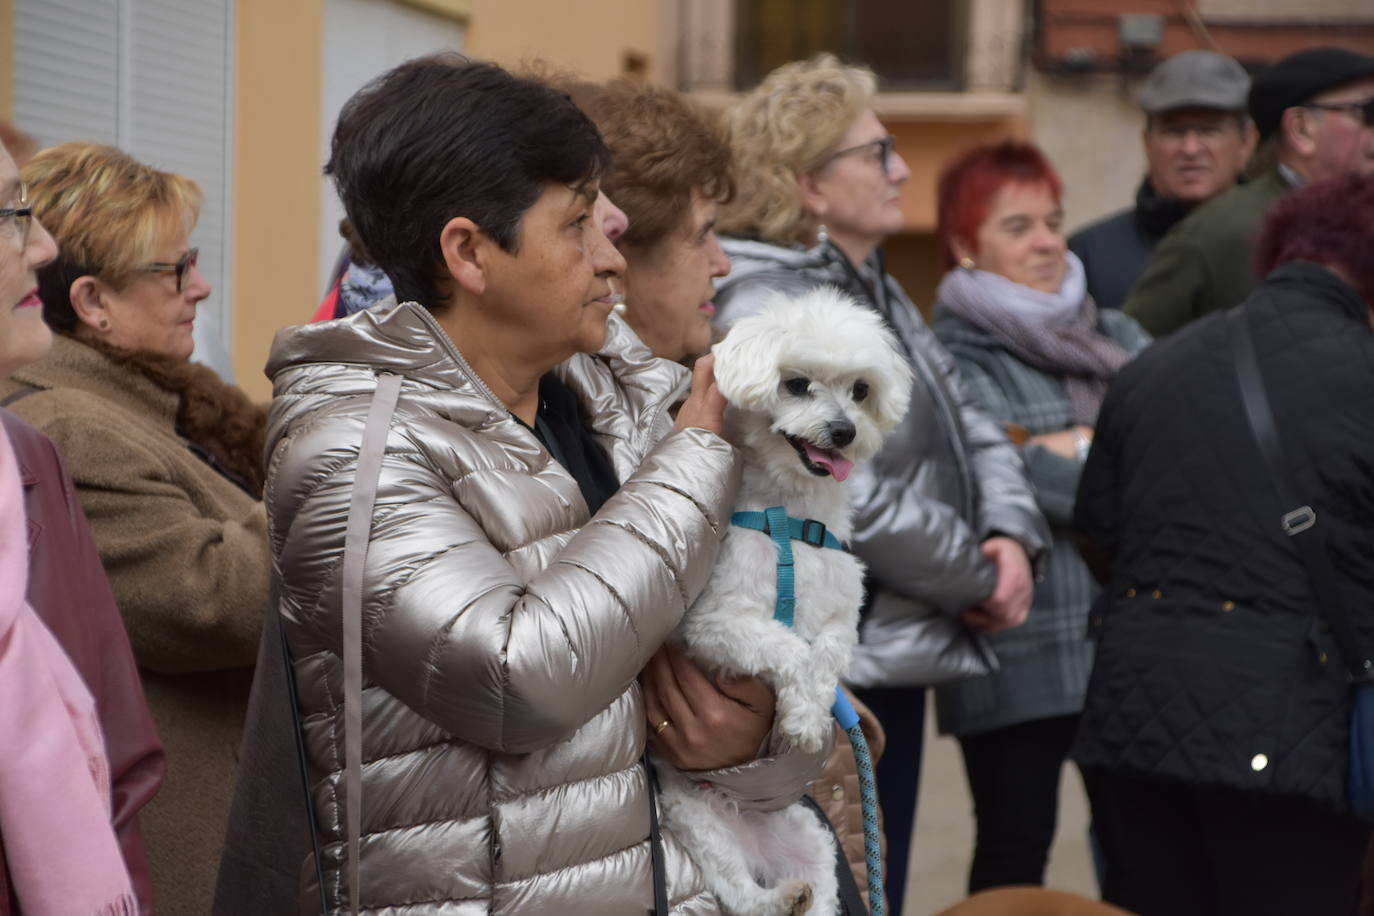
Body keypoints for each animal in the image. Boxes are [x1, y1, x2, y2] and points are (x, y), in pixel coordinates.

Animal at [654, 288, 912, 916]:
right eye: (796, 384)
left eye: (861, 390)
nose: (843, 431)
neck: (791, 520)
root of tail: (756, 837)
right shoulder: (714, 625)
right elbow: (789, 647)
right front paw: (801, 718)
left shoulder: (843, 617)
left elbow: (824, 655)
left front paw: (808, 712)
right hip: (697, 816)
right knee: (741, 892)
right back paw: (772, 896)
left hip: (810, 836)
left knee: (818, 894)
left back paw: (798, 895)